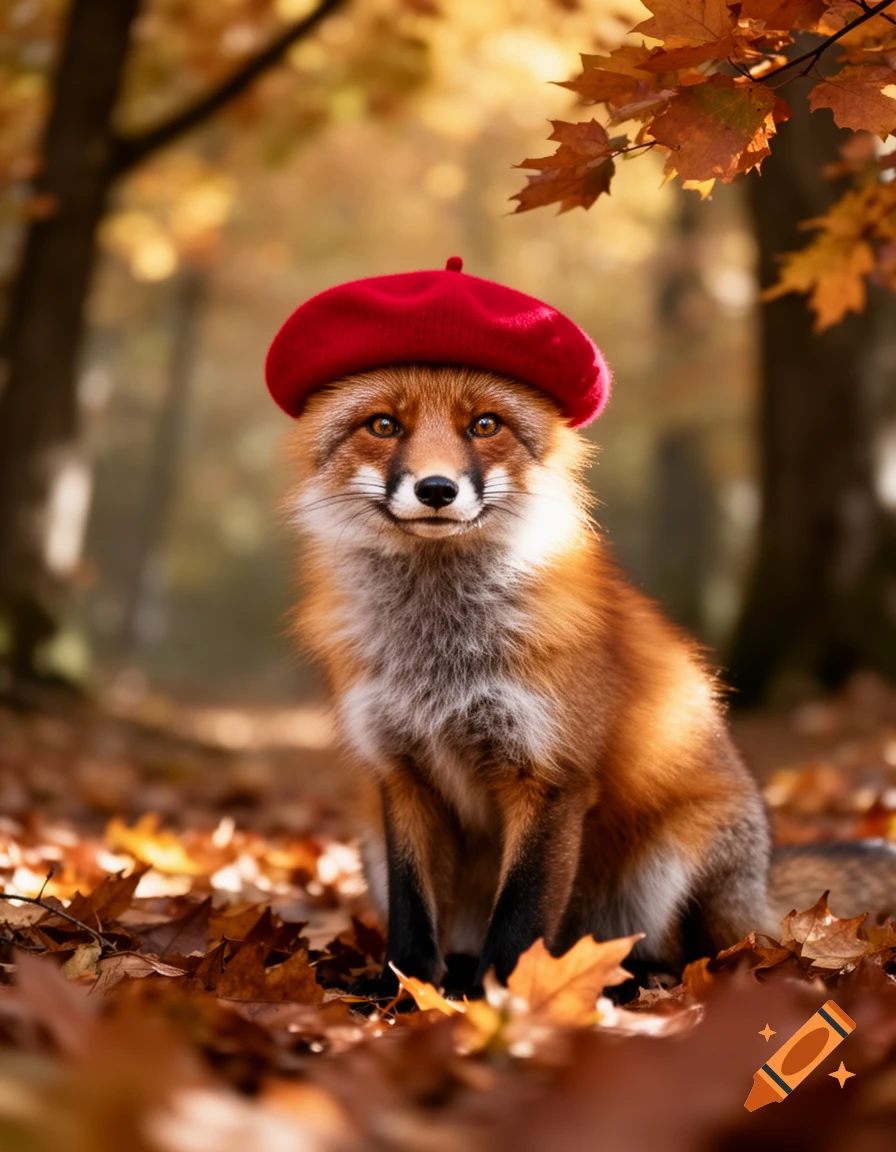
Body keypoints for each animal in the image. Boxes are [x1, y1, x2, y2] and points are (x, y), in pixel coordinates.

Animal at [285, 362, 896, 1001]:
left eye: (485, 425)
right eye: (383, 425)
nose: (436, 489)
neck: (439, 656)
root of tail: (762, 880)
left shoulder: (551, 776)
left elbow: (522, 916)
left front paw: (505, 1000)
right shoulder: (402, 776)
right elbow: (411, 915)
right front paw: (400, 996)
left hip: (668, 865)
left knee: (688, 955)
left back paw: (630, 984)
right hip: (371, 847)